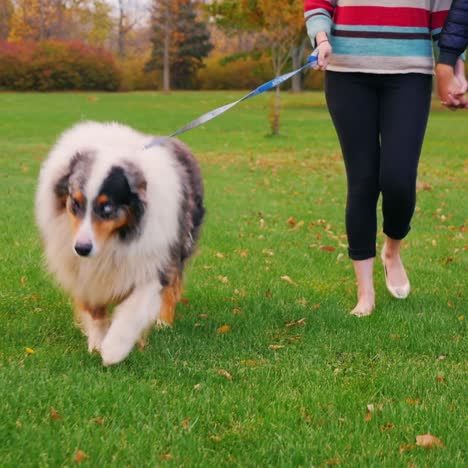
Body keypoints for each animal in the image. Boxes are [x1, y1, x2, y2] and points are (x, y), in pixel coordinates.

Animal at [35, 121, 204, 366]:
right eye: (75, 203)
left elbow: (133, 310)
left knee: (172, 286)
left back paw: (164, 322)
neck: (116, 238)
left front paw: (114, 349)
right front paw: (97, 343)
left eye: (107, 208)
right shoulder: (83, 272)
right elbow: (95, 310)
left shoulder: (153, 261)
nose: (82, 249)